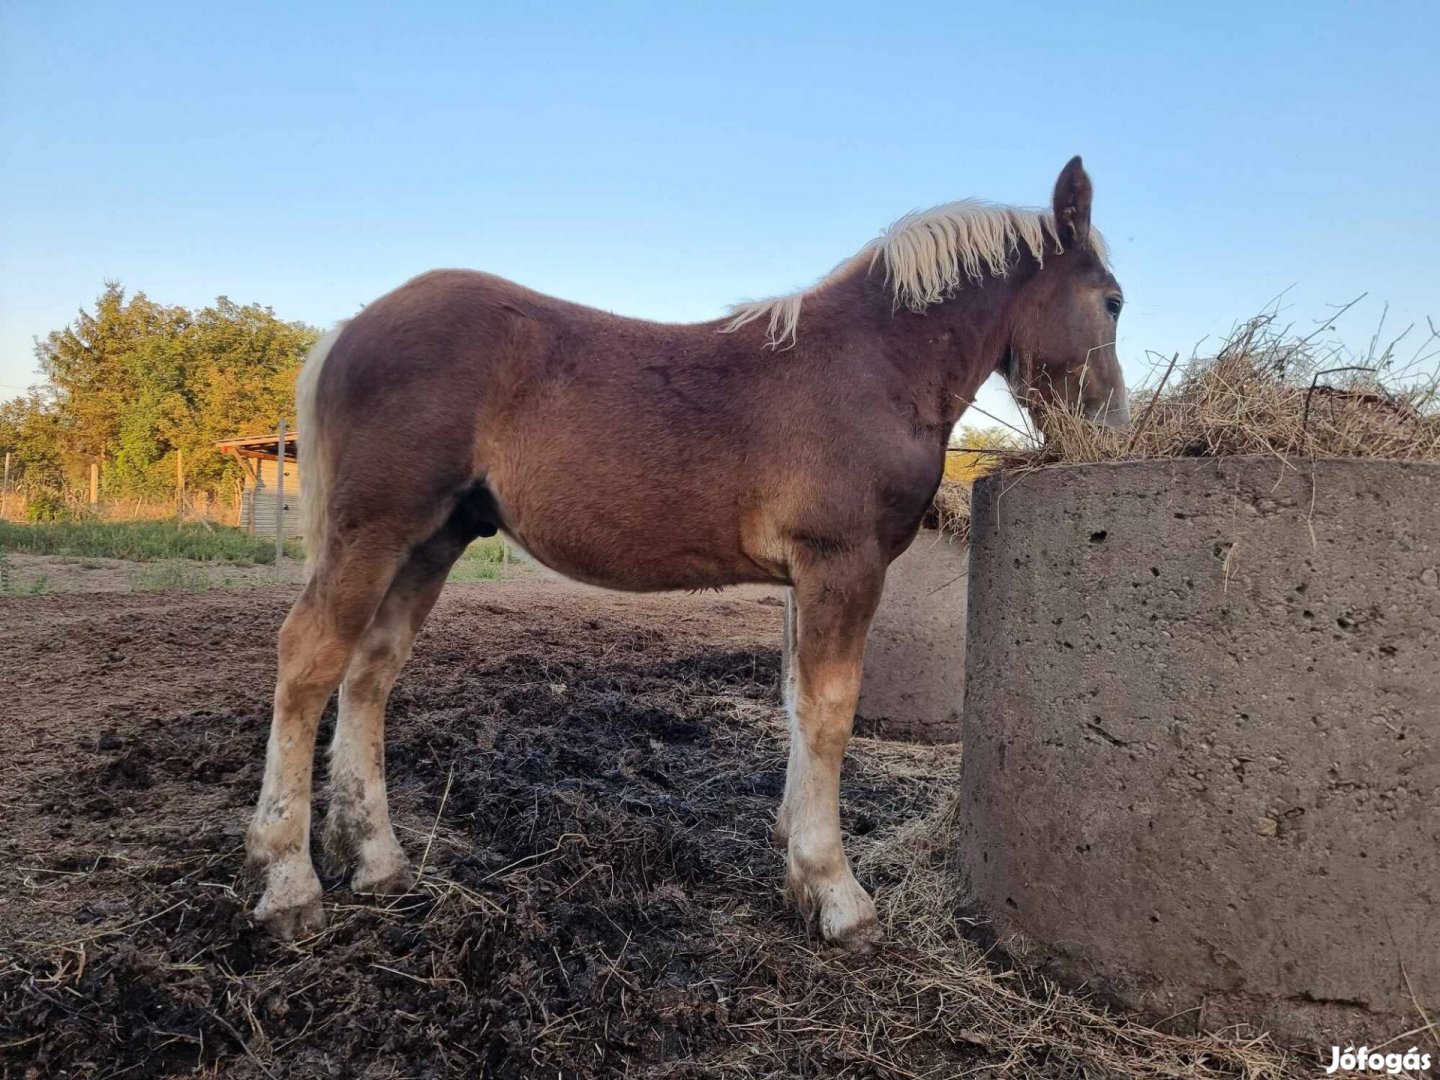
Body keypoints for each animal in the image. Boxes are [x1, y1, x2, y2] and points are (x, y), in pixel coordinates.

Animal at [244, 156, 1123, 950]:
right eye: (1111, 299)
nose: (1112, 425)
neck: (872, 366)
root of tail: (348, 329)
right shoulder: (843, 563)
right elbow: (831, 712)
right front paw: (838, 894)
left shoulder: (803, 579)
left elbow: (796, 702)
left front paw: (795, 861)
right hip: (377, 528)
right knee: (311, 657)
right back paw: (288, 882)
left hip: (434, 538)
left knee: (371, 670)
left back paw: (377, 860)